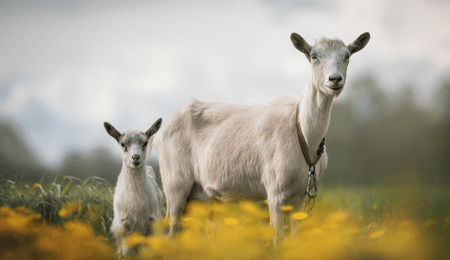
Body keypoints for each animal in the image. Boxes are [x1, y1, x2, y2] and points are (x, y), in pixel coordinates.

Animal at [153, 32, 370, 242]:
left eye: (347, 56)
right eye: (314, 56)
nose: (334, 79)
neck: (303, 134)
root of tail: (161, 133)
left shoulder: (300, 195)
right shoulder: (275, 191)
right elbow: (278, 238)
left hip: (200, 196)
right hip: (175, 183)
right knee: (170, 230)